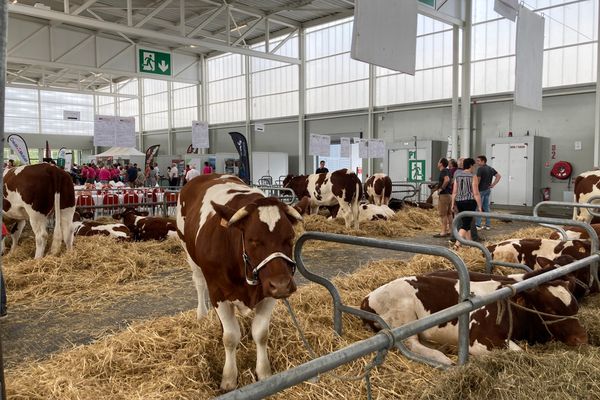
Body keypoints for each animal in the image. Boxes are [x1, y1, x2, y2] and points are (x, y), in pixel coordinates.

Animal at [175, 173, 308, 390]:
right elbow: (230, 337)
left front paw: (264, 372)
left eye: (290, 237)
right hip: (187, 250)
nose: (281, 285)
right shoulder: (218, 292)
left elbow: (261, 333)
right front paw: (229, 379)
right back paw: (202, 314)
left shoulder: (268, 292)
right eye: (253, 239)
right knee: (199, 282)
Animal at [360, 266, 584, 366]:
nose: (583, 339)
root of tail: (367, 298)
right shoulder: (481, 342)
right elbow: (519, 352)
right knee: (411, 343)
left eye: (575, 307)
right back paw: (442, 357)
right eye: (552, 310)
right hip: (403, 317)